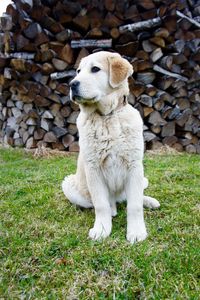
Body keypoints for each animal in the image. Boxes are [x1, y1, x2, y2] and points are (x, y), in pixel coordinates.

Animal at [61, 51, 160, 244]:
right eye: (78, 71)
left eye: (95, 69)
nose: (72, 84)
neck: (107, 117)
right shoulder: (93, 168)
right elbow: (101, 205)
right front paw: (101, 229)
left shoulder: (135, 166)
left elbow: (135, 205)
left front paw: (136, 231)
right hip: (68, 185)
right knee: (105, 203)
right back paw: (113, 209)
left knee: (131, 197)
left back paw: (150, 201)